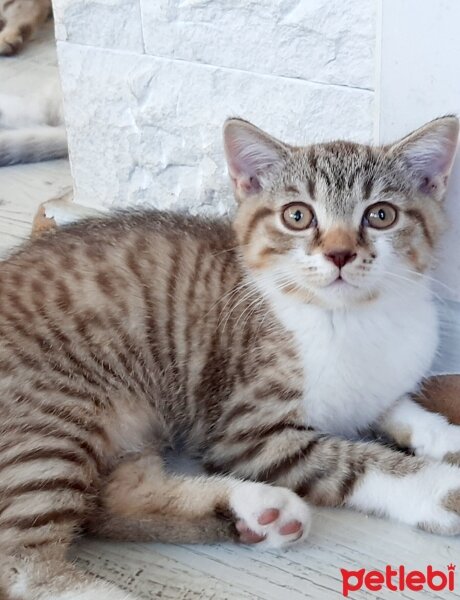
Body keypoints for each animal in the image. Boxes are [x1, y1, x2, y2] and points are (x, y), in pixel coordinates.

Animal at [0, 115, 460, 596]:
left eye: (381, 215)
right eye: (297, 215)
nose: (339, 253)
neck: (352, 318)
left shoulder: (377, 382)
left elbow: (396, 406)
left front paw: (444, 436)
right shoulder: (245, 431)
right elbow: (352, 462)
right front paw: (441, 489)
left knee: (111, 500)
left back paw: (254, 512)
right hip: (54, 417)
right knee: (21, 567)